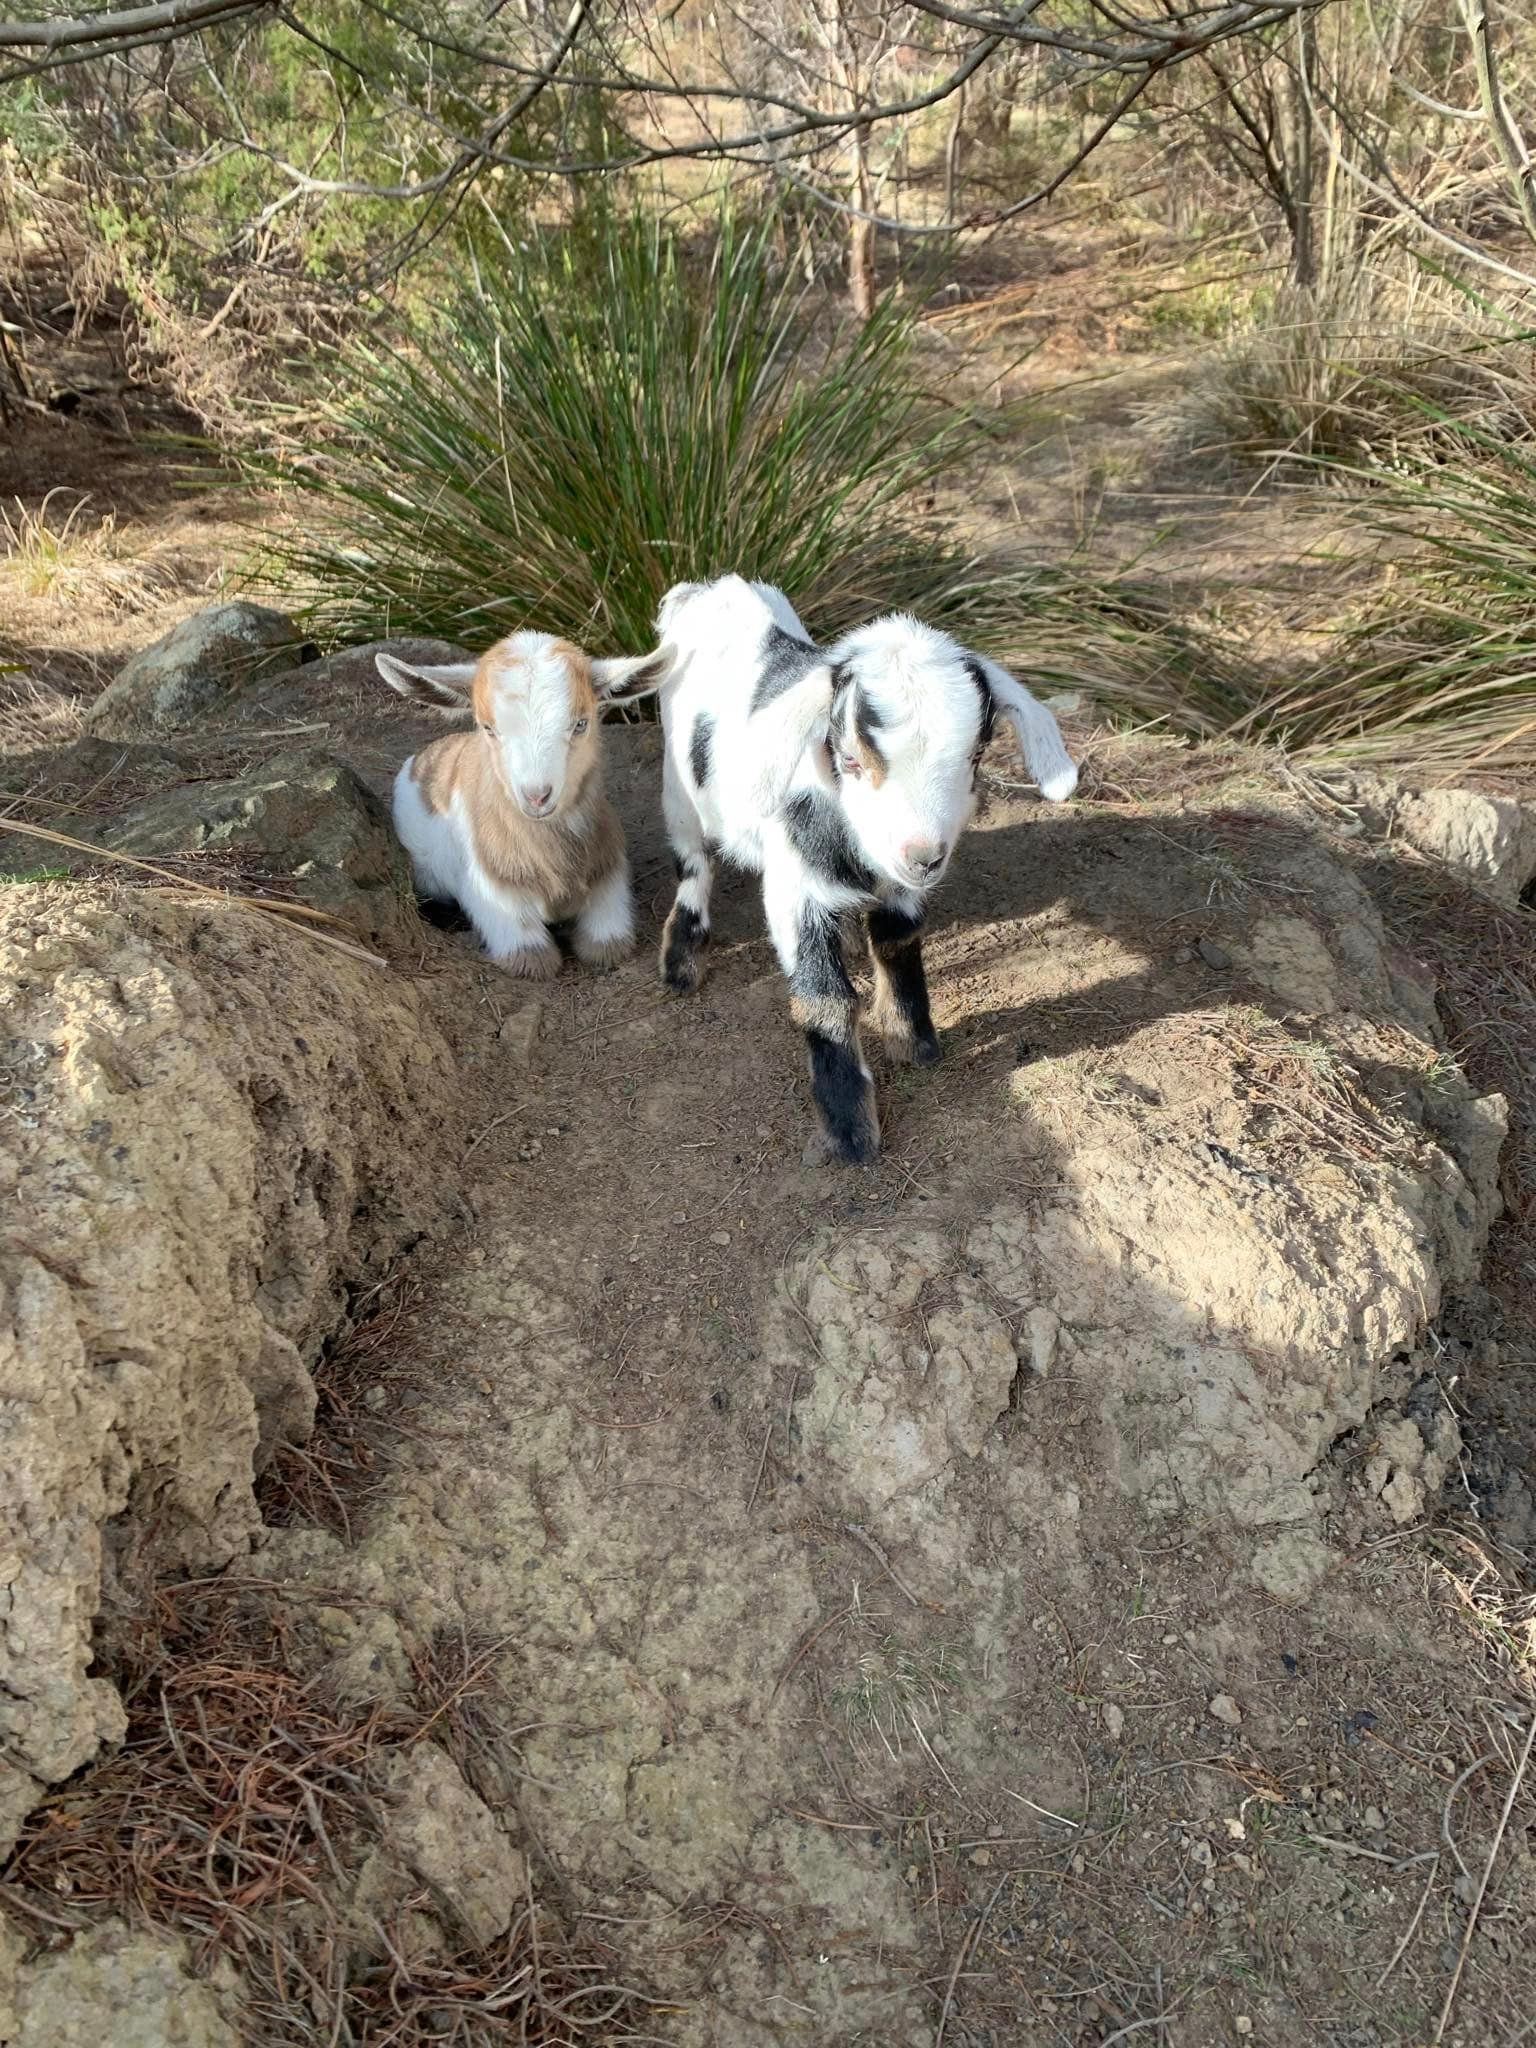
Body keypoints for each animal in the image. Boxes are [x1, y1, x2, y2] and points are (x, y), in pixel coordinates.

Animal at [376, 631, 665, 977]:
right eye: (488, 728)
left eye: (581, 723)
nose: (537, 796)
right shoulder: (493, 899)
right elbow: (535, 960)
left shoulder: (610, 877)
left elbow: (606, 947)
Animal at [642, 575, 1077, 1163]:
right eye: (849, 759)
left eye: (976, 756)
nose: (923, 854)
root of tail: (704, 588)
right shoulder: (793, 889)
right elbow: (822, 997)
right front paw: (850, 1132)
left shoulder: (900, 889)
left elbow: (897, 944)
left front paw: (912, 1042)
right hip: (678, 786)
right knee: (692, 863)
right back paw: (682, 960)